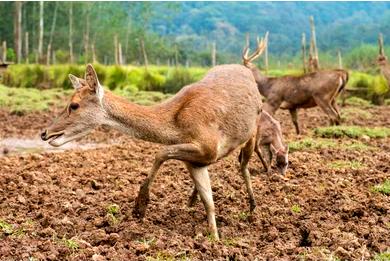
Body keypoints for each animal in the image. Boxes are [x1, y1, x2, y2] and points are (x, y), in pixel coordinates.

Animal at [40, 62, 266, 239]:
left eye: (74, 105)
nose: (44, 133)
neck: (176, 125)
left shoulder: (207, 146)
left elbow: (160, 153)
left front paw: (140, 207)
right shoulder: (196, 161)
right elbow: (209, 202)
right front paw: (214, 239)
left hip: (254, 128)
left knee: (244, 164)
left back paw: (253, 207)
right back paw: (192, 201)